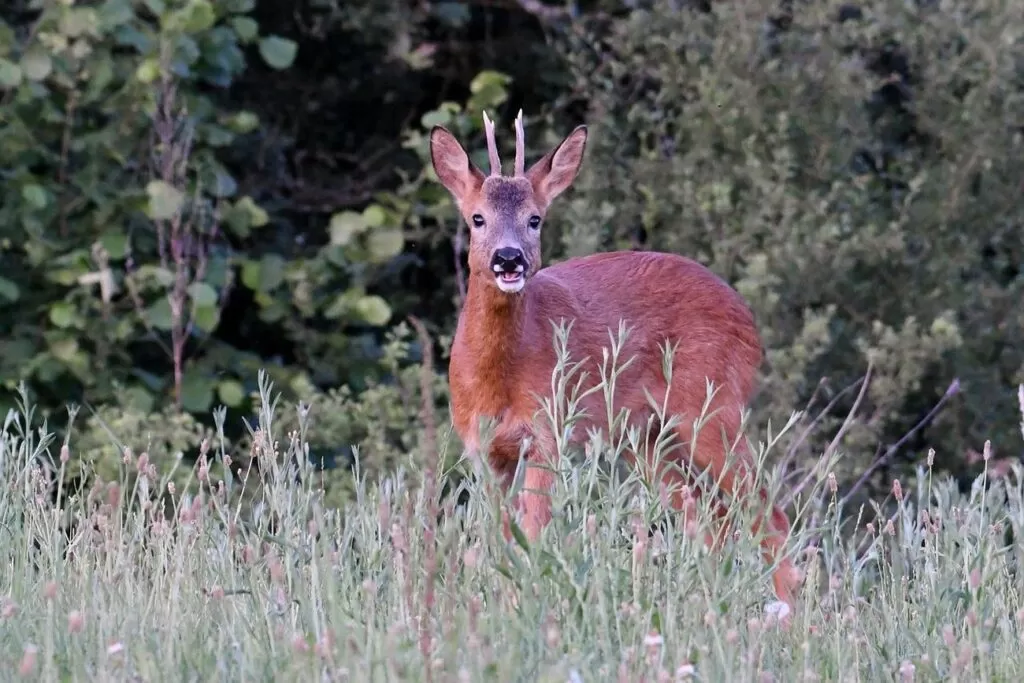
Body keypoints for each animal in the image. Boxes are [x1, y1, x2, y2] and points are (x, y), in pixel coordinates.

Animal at [428, 112, 802, 610]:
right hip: (647, 436)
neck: (497, 379)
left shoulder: (549, 429)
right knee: (713, 517)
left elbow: (533, 534)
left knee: (765, 511)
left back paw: (793, 612)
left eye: (535, 219)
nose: (509, 259)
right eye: (477, 218)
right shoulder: (482, 448)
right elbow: (499, 540)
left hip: (714, 408)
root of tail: (748, 318)